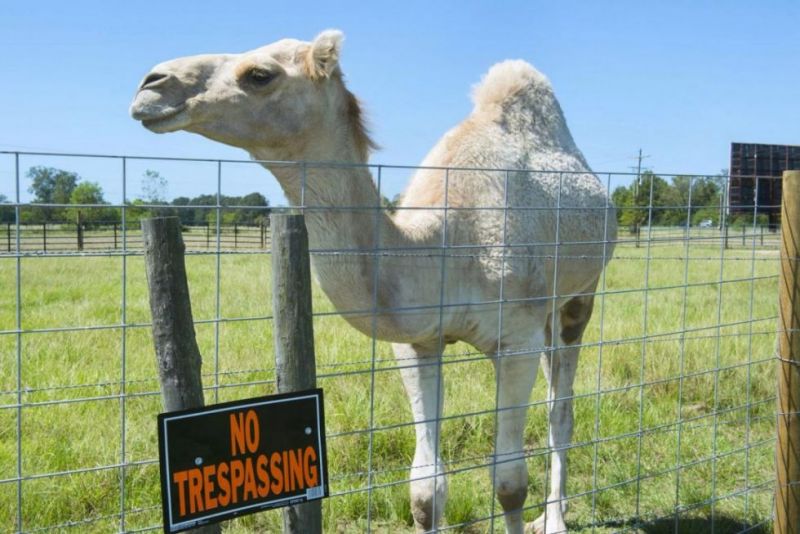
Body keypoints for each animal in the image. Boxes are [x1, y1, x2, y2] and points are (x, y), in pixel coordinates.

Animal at [130, 30, 616, 534]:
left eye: (260, 74)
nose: (151, 84)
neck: (445, 245)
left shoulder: (515, 341)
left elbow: (509, 482)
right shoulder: (418, 343)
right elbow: (425, 490)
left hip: (579, 297)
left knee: (561, 409)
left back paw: (554, 518)